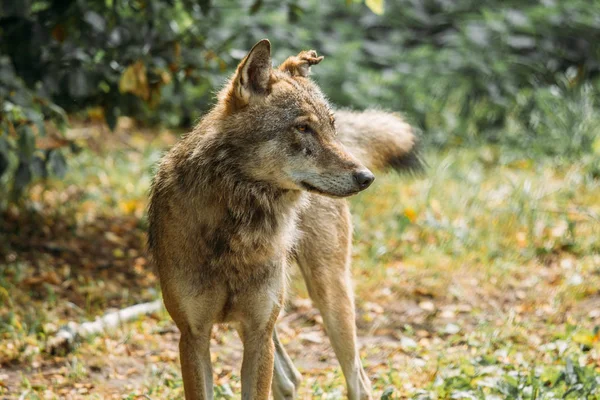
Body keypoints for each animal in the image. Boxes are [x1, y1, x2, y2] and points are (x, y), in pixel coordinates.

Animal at [149, 38, 422, 400]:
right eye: (303, 128)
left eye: (330, 126)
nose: (366, 177)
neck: (239, 225)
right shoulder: (194, 337)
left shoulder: (259, 333)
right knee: (290, 379)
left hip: (329, 295)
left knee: (358, 382)